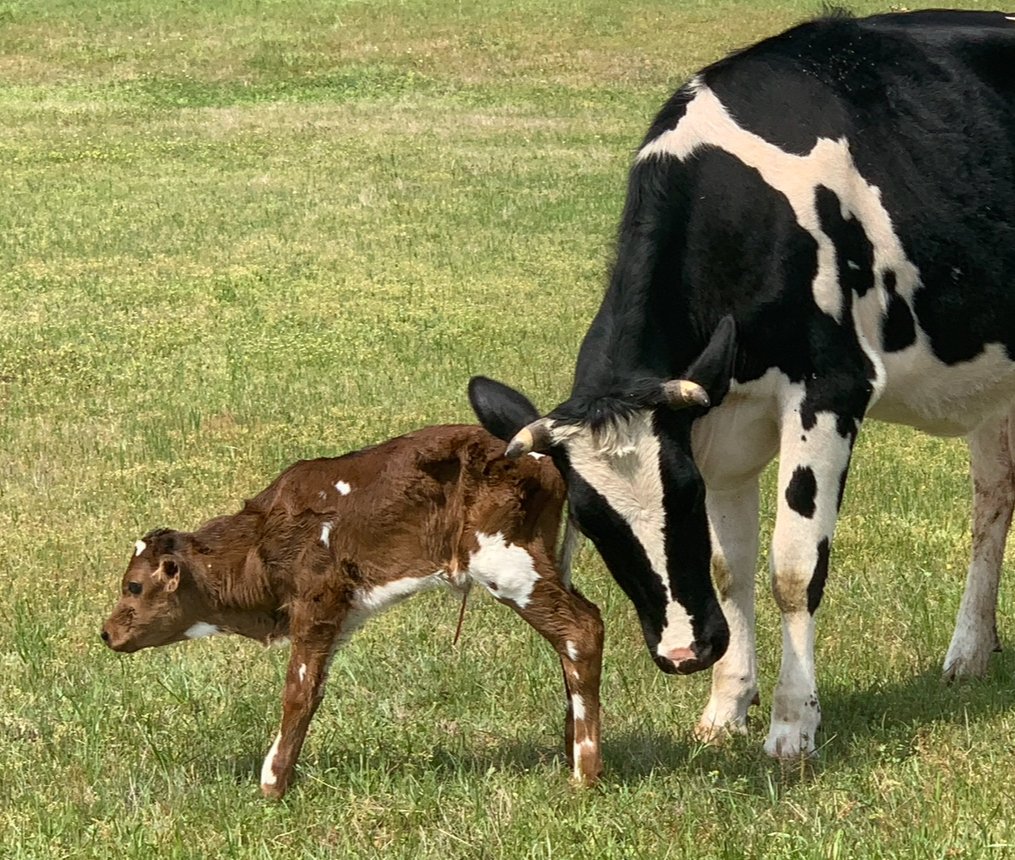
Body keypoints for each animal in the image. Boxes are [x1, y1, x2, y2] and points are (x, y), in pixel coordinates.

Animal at [101, 424, 603, 797]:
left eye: (134, 585)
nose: (106, 632)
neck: (258, 546)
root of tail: (542, 459)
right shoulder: (336, 615)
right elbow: (315, 687)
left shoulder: (317, 601)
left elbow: (298, 691)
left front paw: (272, 784)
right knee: (579, 630)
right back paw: (570, 752)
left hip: (507, 561)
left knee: (580, 630)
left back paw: (585, 774)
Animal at [469, 9, 1015, 759]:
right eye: (589, 518)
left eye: (683, 491)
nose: (682, 653)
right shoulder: (719, 417)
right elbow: (733, 570)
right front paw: (724, 708)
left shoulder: (829, 389)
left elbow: (794, 568)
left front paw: (791, 725)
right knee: (993, 498)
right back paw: (969, 652)